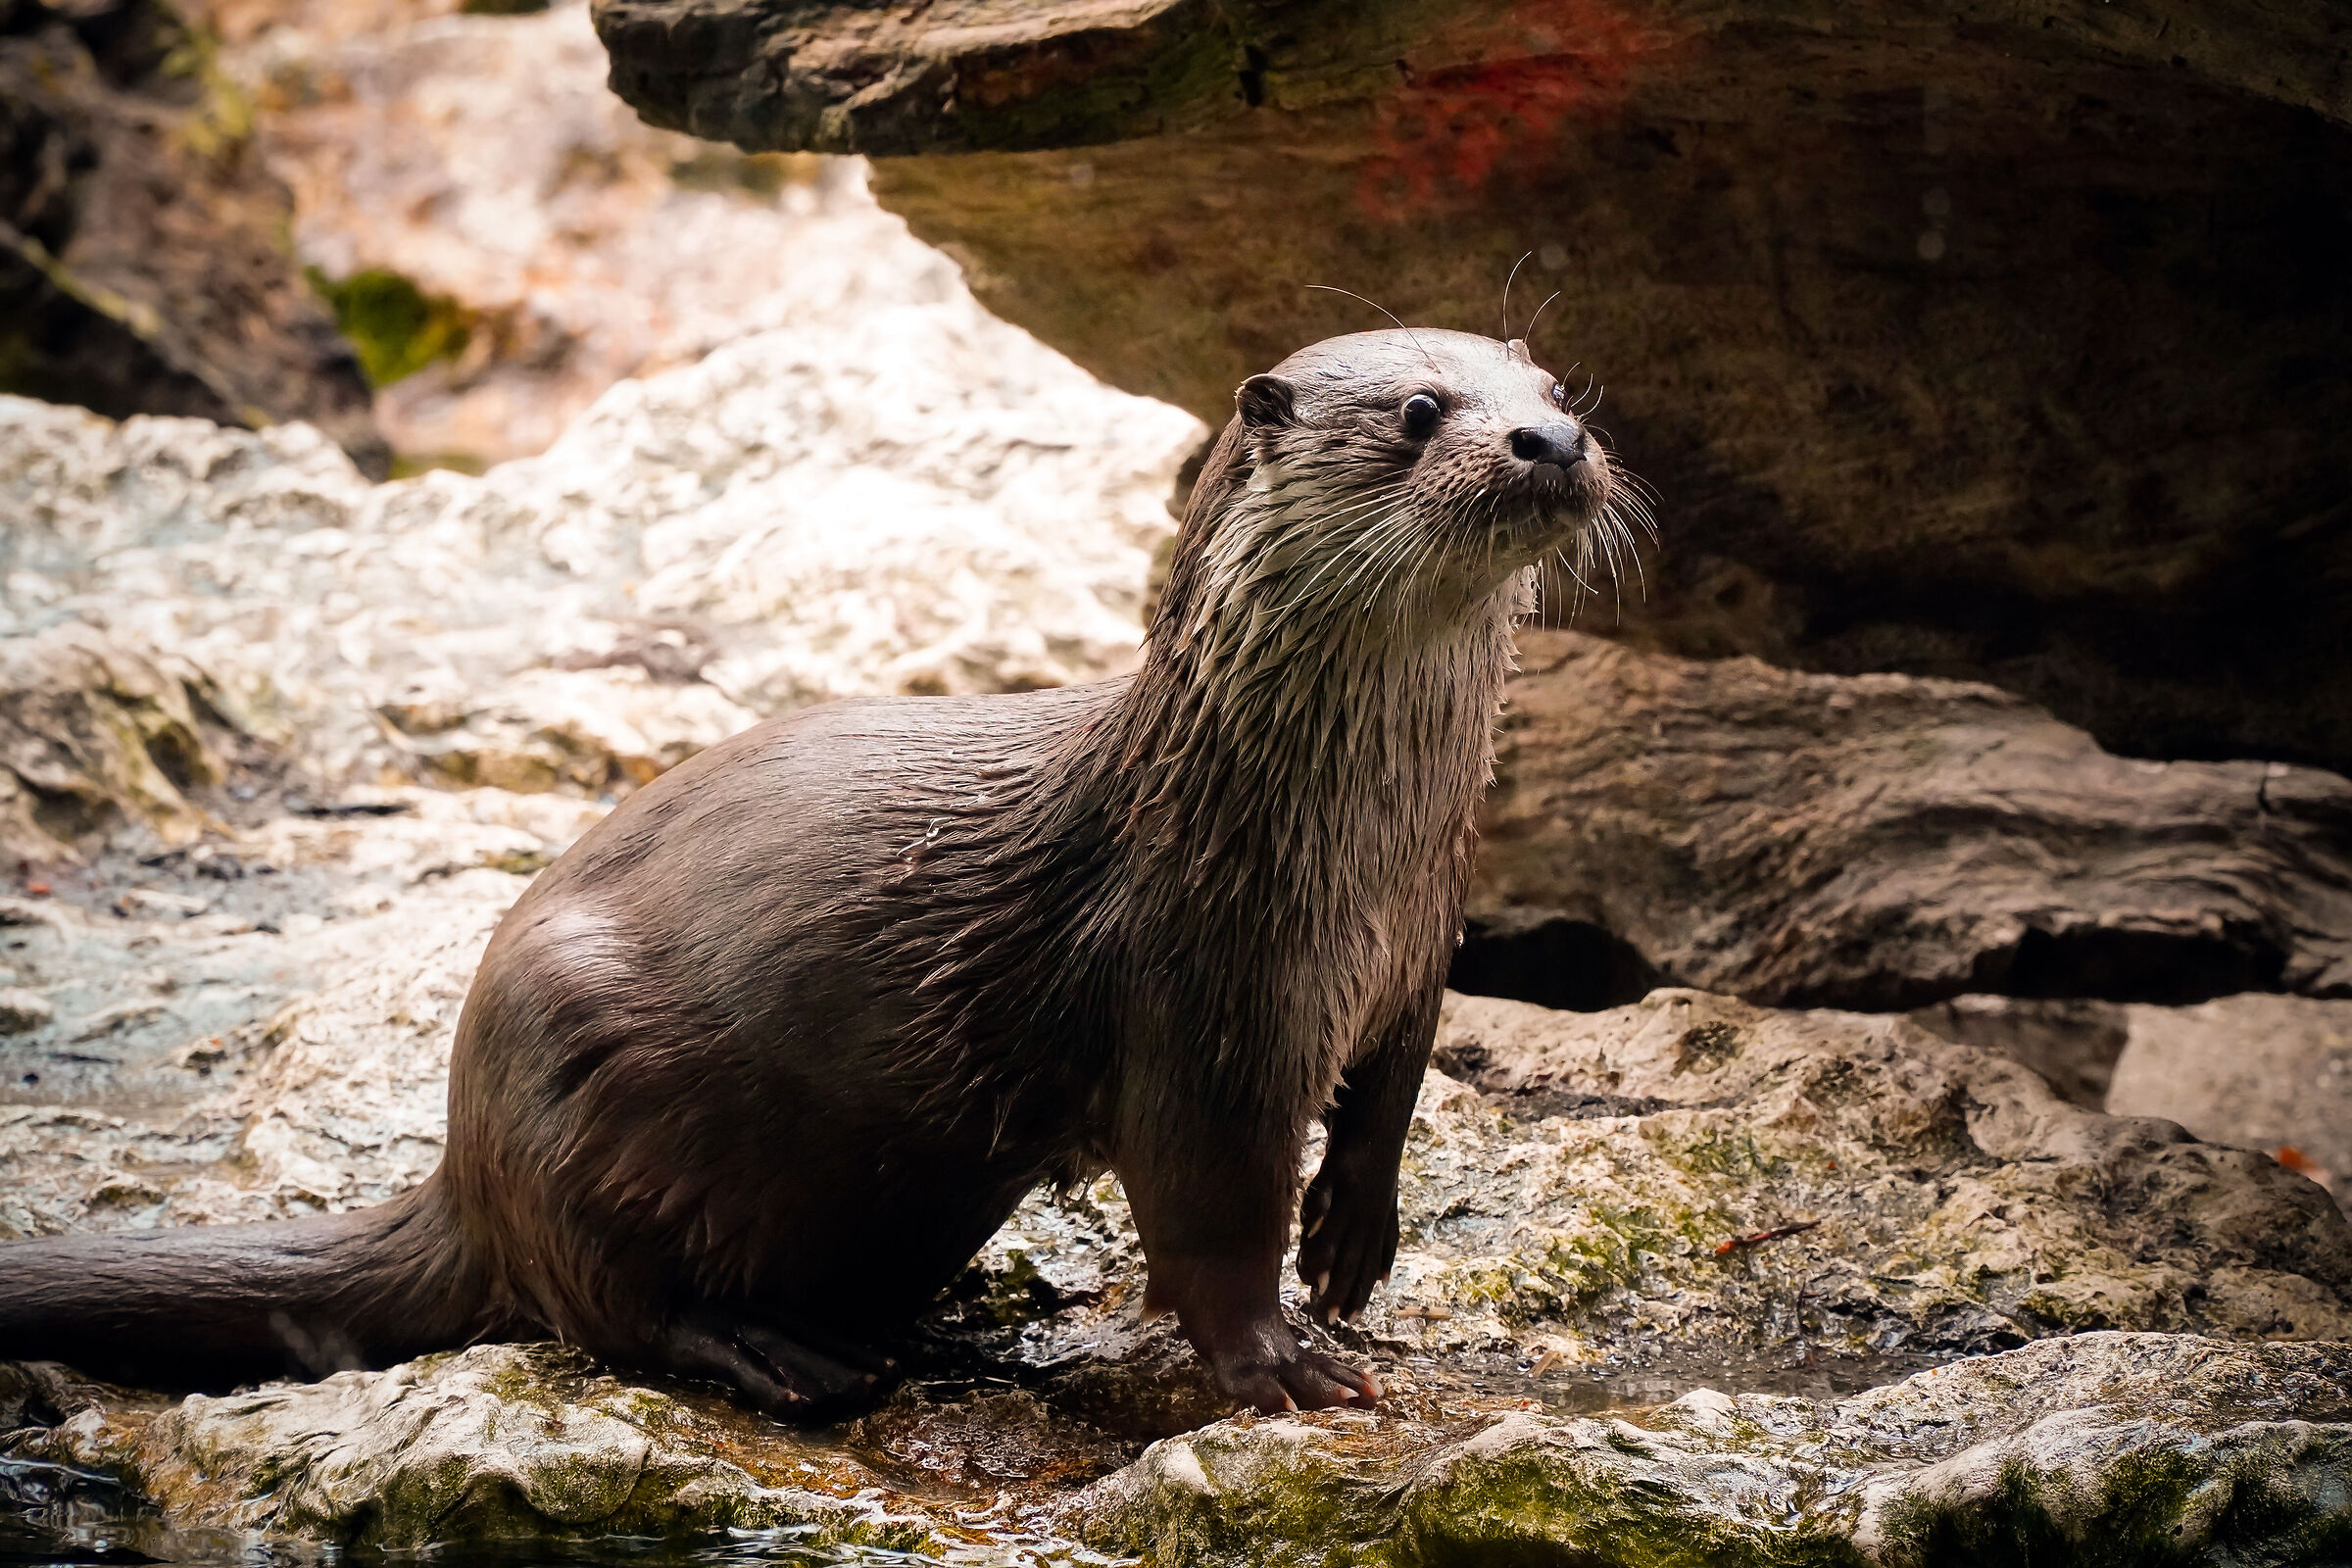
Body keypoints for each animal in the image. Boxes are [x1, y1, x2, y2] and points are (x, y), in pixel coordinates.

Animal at [0, 329, 1616, 1416]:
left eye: (1560, 394)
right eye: (1420, 412)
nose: (1549, 447)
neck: (1346, 843)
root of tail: (462, 1159)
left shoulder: (1416, 949)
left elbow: (1391, 1100)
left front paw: (1353, 1248)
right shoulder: (1195, 1005)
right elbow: (1210, 1221)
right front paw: (1282, 1364)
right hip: (570, 1058)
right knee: (600, 1307)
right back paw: (780, 1352)